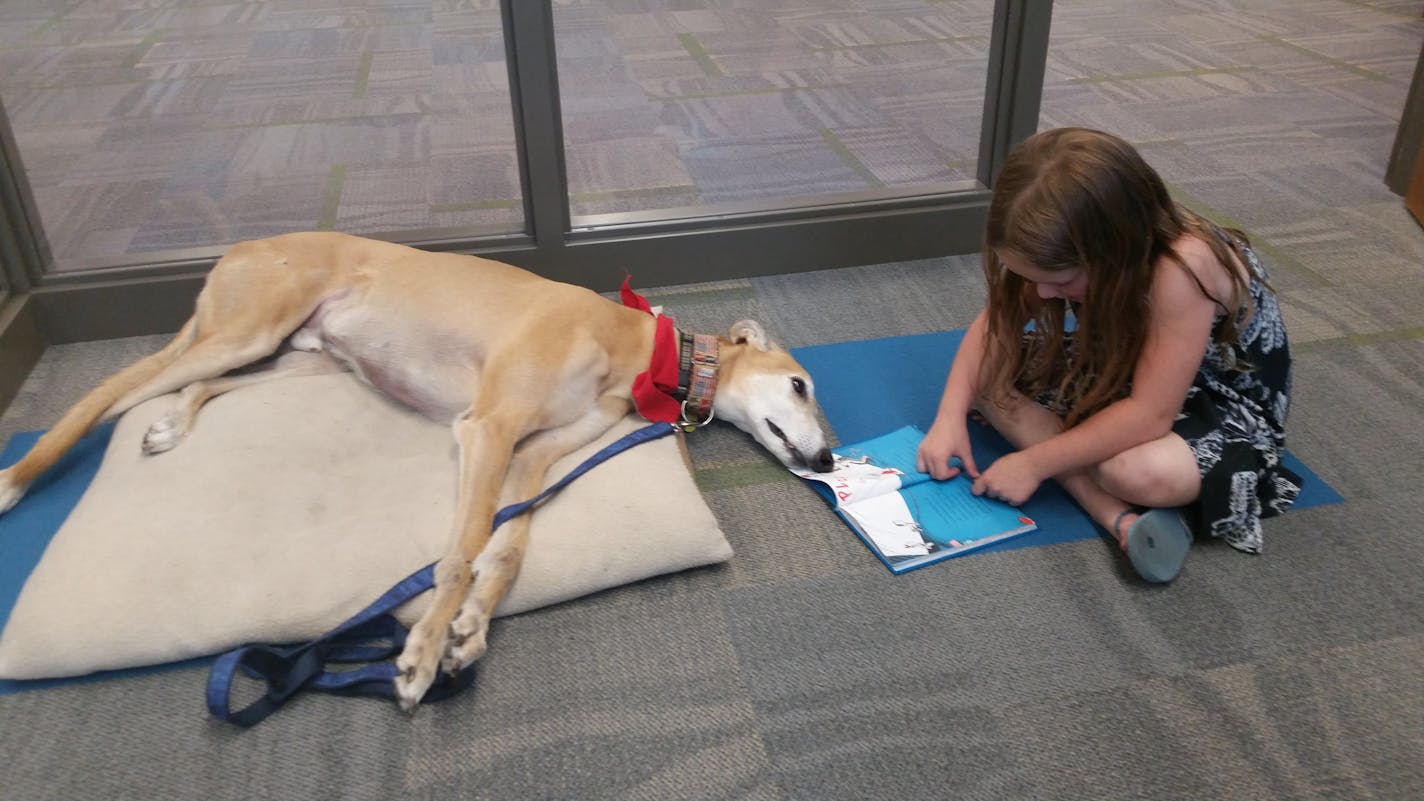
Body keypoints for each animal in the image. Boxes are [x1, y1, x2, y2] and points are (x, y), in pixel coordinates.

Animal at [0, 229, 831, 704]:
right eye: (801, 385)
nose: (825, 455)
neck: (641, 347)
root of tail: (239, 250)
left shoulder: (532, 458)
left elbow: (504, 555)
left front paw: (468, 632)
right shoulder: (488, 427)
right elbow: (459, 555)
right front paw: (423, 653)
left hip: (298, 357)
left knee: (193, 385)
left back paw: (173, 422)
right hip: (251, 328)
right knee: (115, 394)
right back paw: (19, 475)